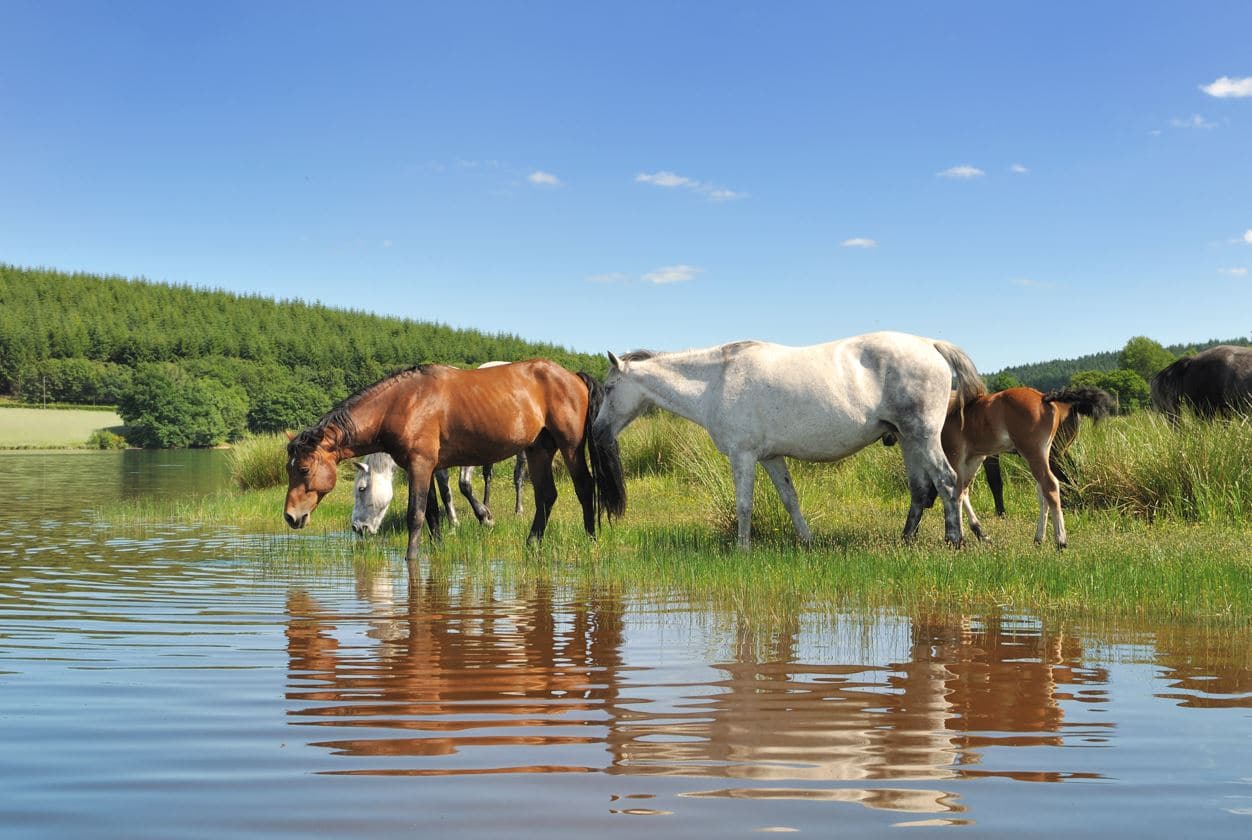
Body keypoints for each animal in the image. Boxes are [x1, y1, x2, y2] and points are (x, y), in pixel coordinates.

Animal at [284, 358, 626, 575]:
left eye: (303, 469)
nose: (291, 517)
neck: (403, 403)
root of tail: (572, 376)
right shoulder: (427, 466)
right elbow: (434, 513)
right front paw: (437, 550)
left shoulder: (421, 465)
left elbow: (416, 514)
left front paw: (411, 558)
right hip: (538, 449)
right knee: (546, 496)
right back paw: (531, 543)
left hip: (569, 446)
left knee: (584, 488)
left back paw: (590, 539)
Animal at [590, 332, 981, 548]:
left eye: (609, 388)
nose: (597, 432)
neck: (717, 380)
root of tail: (928, 344)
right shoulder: (770, 458)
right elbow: (790, 499)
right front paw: (806, 541)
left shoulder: (743, 456)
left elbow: (744, 505)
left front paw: (743, 549)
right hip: (908, 440)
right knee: (921, 491)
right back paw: (908, 540)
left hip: (923, 437)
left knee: (947, 483)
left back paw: (955, 540)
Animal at [941, 385, 1111, 548]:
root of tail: (1045, 397)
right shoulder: (974, 458)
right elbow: (964, 491)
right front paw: (978, 534)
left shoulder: (960, 456)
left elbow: (959, 490)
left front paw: (956, 539)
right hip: (1048, 454)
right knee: (1047, 488)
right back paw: (1039, 538)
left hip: (1041, 453)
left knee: (1052, 485)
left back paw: (1060, 541)